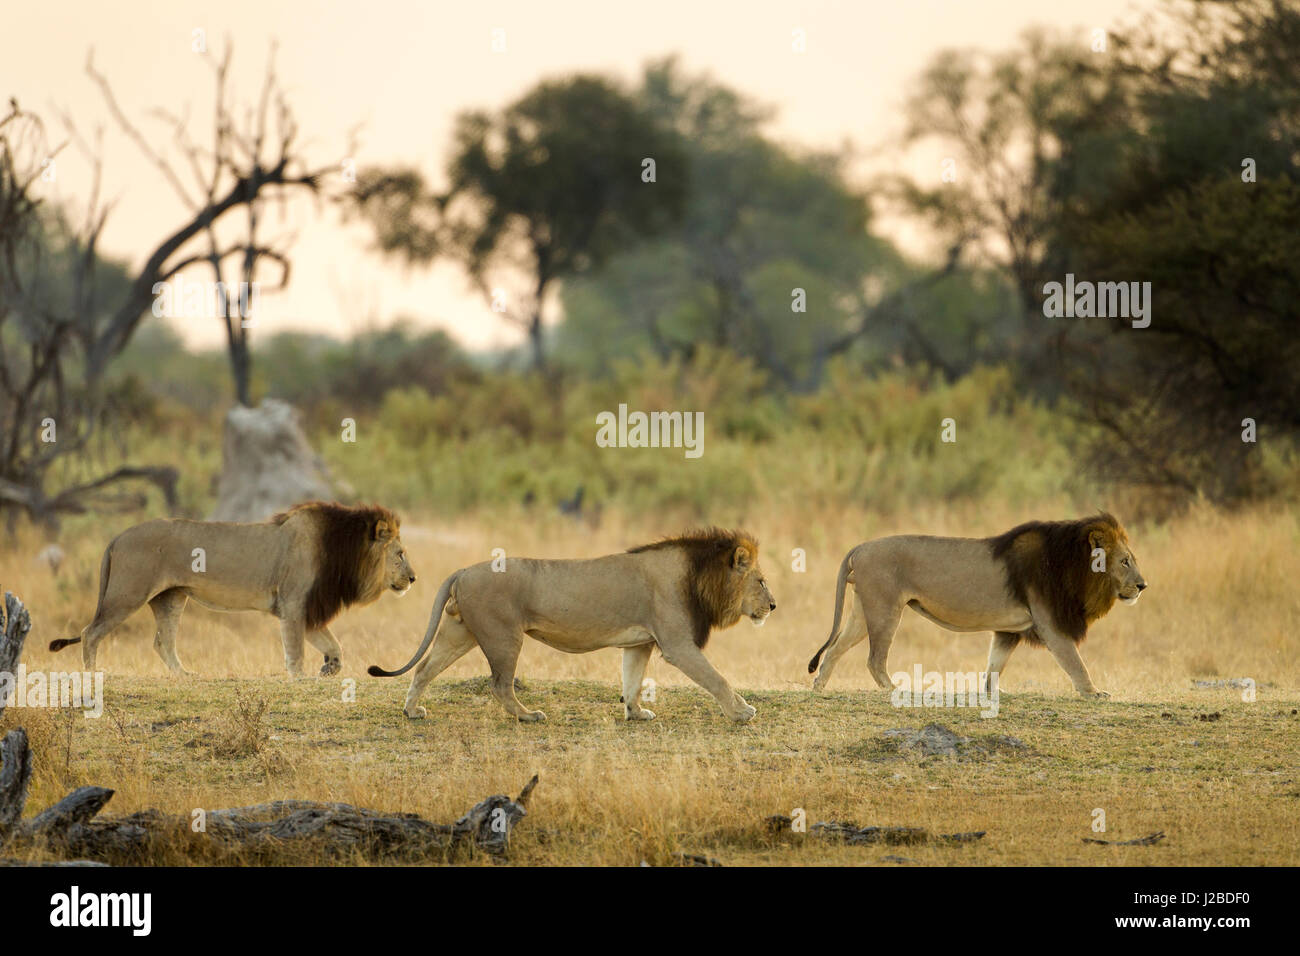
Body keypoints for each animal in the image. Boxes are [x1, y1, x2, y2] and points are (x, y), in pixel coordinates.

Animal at [48, 501, 415, 677]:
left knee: (162, 642)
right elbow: (296, 651)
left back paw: (186, 676)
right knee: (90, 632)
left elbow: (334, 645)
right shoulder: (294, 604)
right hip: (128, 593)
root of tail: (117, 536)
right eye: (400, 554)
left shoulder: (303, 608)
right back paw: (93, 675)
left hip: (170, 598)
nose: (413, 579)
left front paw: (329, 667)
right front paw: (301, 678)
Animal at [367, 528, 776, 723]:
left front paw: (635, 714)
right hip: (503, 636)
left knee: (423, 668)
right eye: (760, 581)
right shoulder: (677, 644)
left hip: (460, 632)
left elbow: (632, 682)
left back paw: (412, 711)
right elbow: (716, 678)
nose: (773, 605)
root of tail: (464, 570)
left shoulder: (639, 643)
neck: (698, 575)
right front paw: (742, 713)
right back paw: (528, 716)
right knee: (499, 684)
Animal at [807, 513, 1146, 698]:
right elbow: (1075, 661)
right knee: (874, 659)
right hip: (885, 609)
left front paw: (992, 692)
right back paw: (895, 690)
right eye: (1125, 561)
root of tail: (861, 546)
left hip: (863, 611)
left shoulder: (1009, 631)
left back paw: (819, 687)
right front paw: (1093, 692)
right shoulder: (1050, 622)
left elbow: (995, 663)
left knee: (835, 649)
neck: (1073, 566)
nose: (1143, 586)